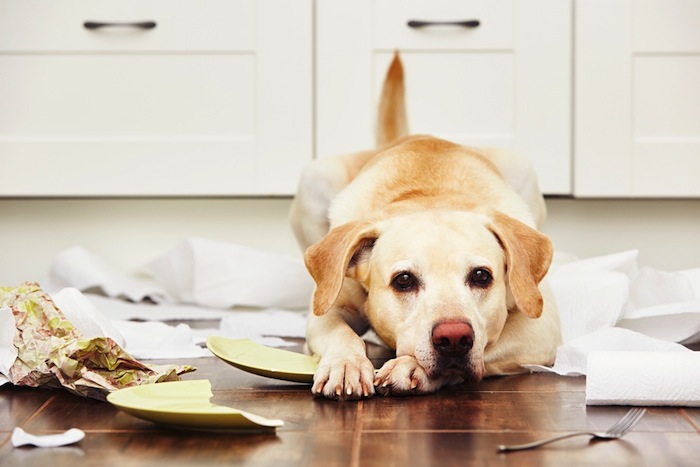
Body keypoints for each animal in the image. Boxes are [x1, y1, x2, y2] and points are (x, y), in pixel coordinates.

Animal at [292, 53, 560, 400]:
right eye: (403, 280)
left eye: (481, 276)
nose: (454, 338)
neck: (429, 195)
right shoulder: (328, 309)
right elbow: (341, 332)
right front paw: (345, 362)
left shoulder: (542, 326)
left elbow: (491, 342)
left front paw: (411, 367)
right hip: (313, 178)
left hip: (520, 165)